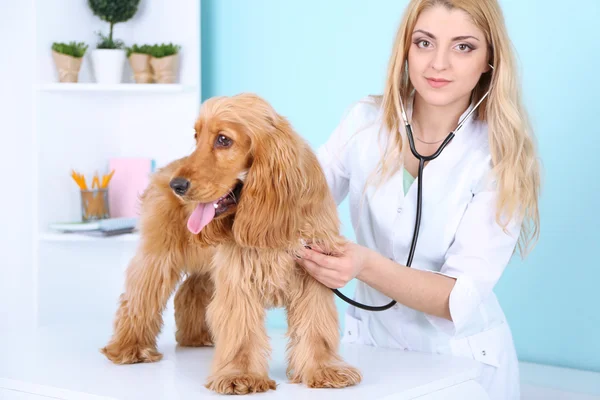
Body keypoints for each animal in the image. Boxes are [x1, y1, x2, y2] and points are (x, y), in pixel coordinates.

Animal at [101, 93, 360, 394]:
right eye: (196, 136)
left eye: (223, 139)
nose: (176, 186)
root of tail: (165, 169)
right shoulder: (239, 274)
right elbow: (241, 329)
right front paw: (240, 375)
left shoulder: (313, 272)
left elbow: (316, 325)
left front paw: (323, 369)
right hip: (159, 254)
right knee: (139, 296)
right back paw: (128, 347)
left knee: (190, 290)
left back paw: (196, 336)